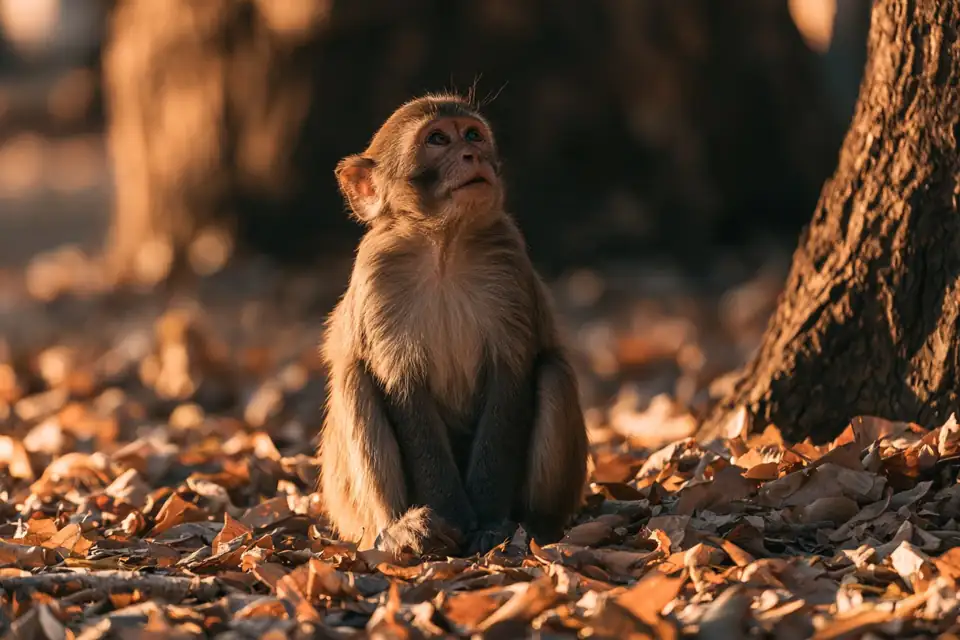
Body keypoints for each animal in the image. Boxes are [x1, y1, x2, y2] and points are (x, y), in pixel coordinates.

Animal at [317, 93, 589, 557]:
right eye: (438, 139)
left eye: (474, 134)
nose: (472, 154)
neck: (443, 242)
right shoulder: (377, 277)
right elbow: (402, 389)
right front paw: (452, 516)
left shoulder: (508, 263)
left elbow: (511, 378)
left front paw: (491, 523)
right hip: (348, 510)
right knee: (354, 380)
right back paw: (397, 530)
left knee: (553, 373)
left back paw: (534, 525)